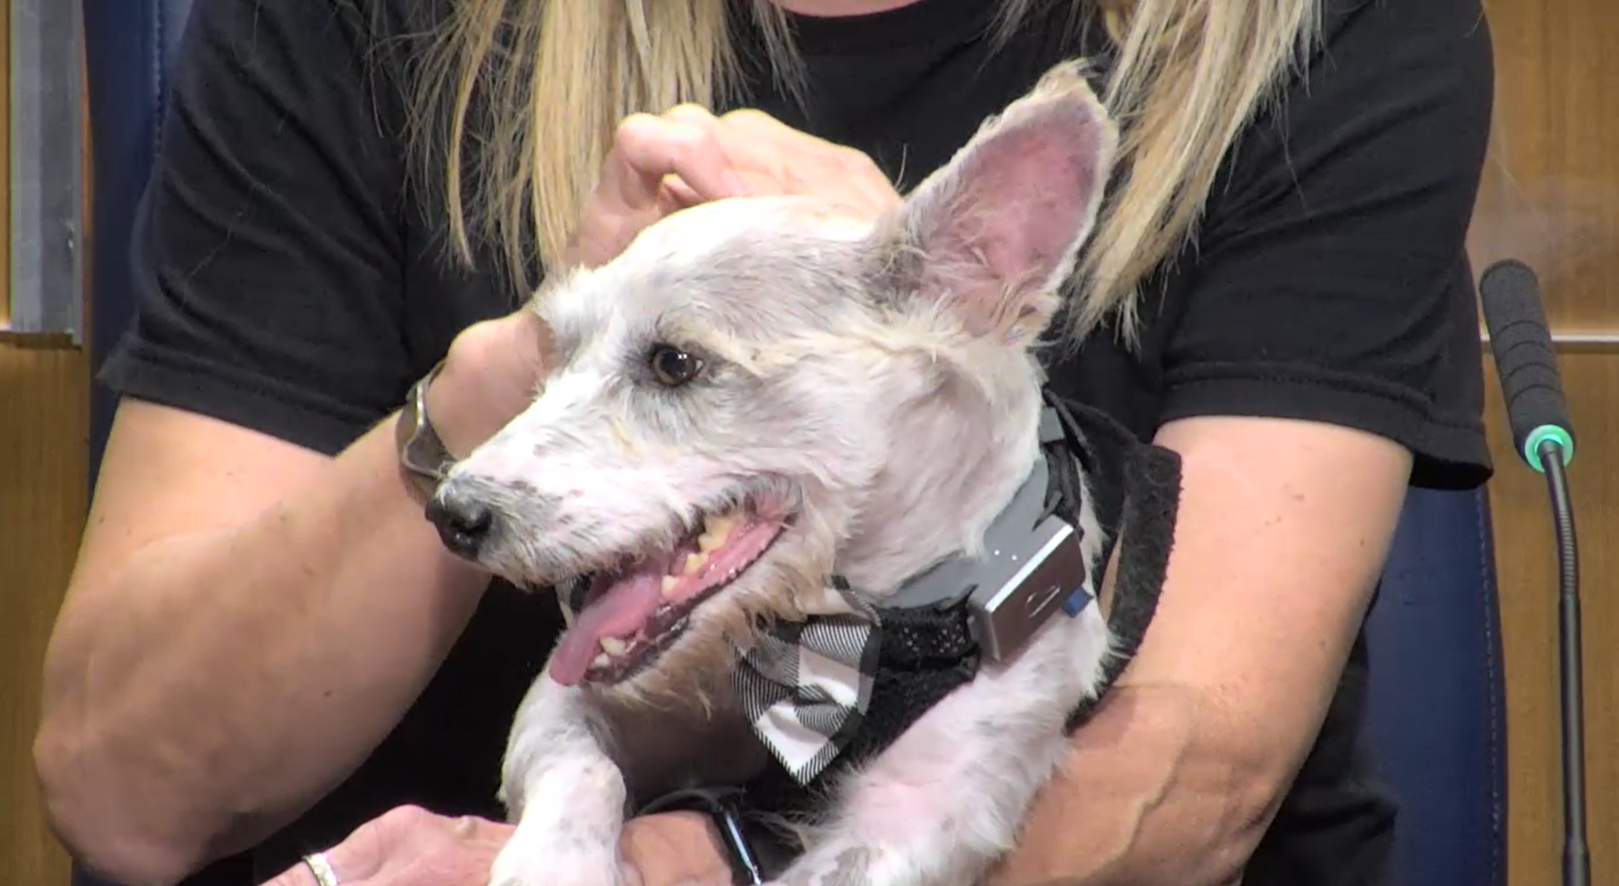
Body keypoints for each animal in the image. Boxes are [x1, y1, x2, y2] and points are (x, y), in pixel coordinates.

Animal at [433, 62, 1139, 886]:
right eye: (559, 351)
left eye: (674, 363)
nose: (451, 515)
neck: (829, 636)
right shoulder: (563, 700)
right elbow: (581, 768)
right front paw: (555, 862)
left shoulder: (921, 811)